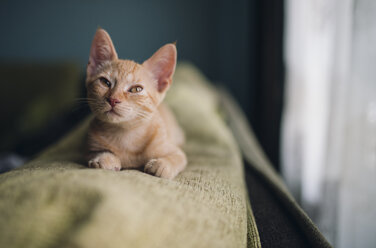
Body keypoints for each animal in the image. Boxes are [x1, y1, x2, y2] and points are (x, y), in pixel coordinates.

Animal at [84, 29, 186, 179]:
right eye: (105, 82)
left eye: (136, 89)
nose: (113, 99)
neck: (125, 135)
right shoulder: (89, 144)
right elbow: (94, 152)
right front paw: (104, 158)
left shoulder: (176, 150)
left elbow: (177, 157)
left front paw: (162, 165)